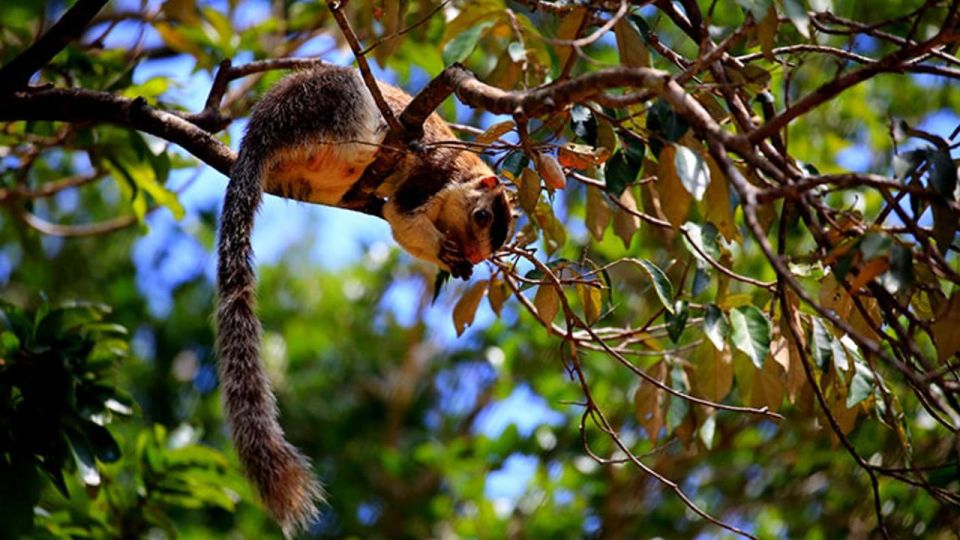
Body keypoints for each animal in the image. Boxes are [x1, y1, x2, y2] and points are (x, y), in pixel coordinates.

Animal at [217, 65, 512, 532]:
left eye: (487, 251)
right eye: (481, 216)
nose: (470, 253)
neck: (461, 176)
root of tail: (258, 137)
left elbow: (401, 228)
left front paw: (454, 263)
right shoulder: (429, 179)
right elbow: (402, 216)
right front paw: (443, 251)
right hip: (332, 105)